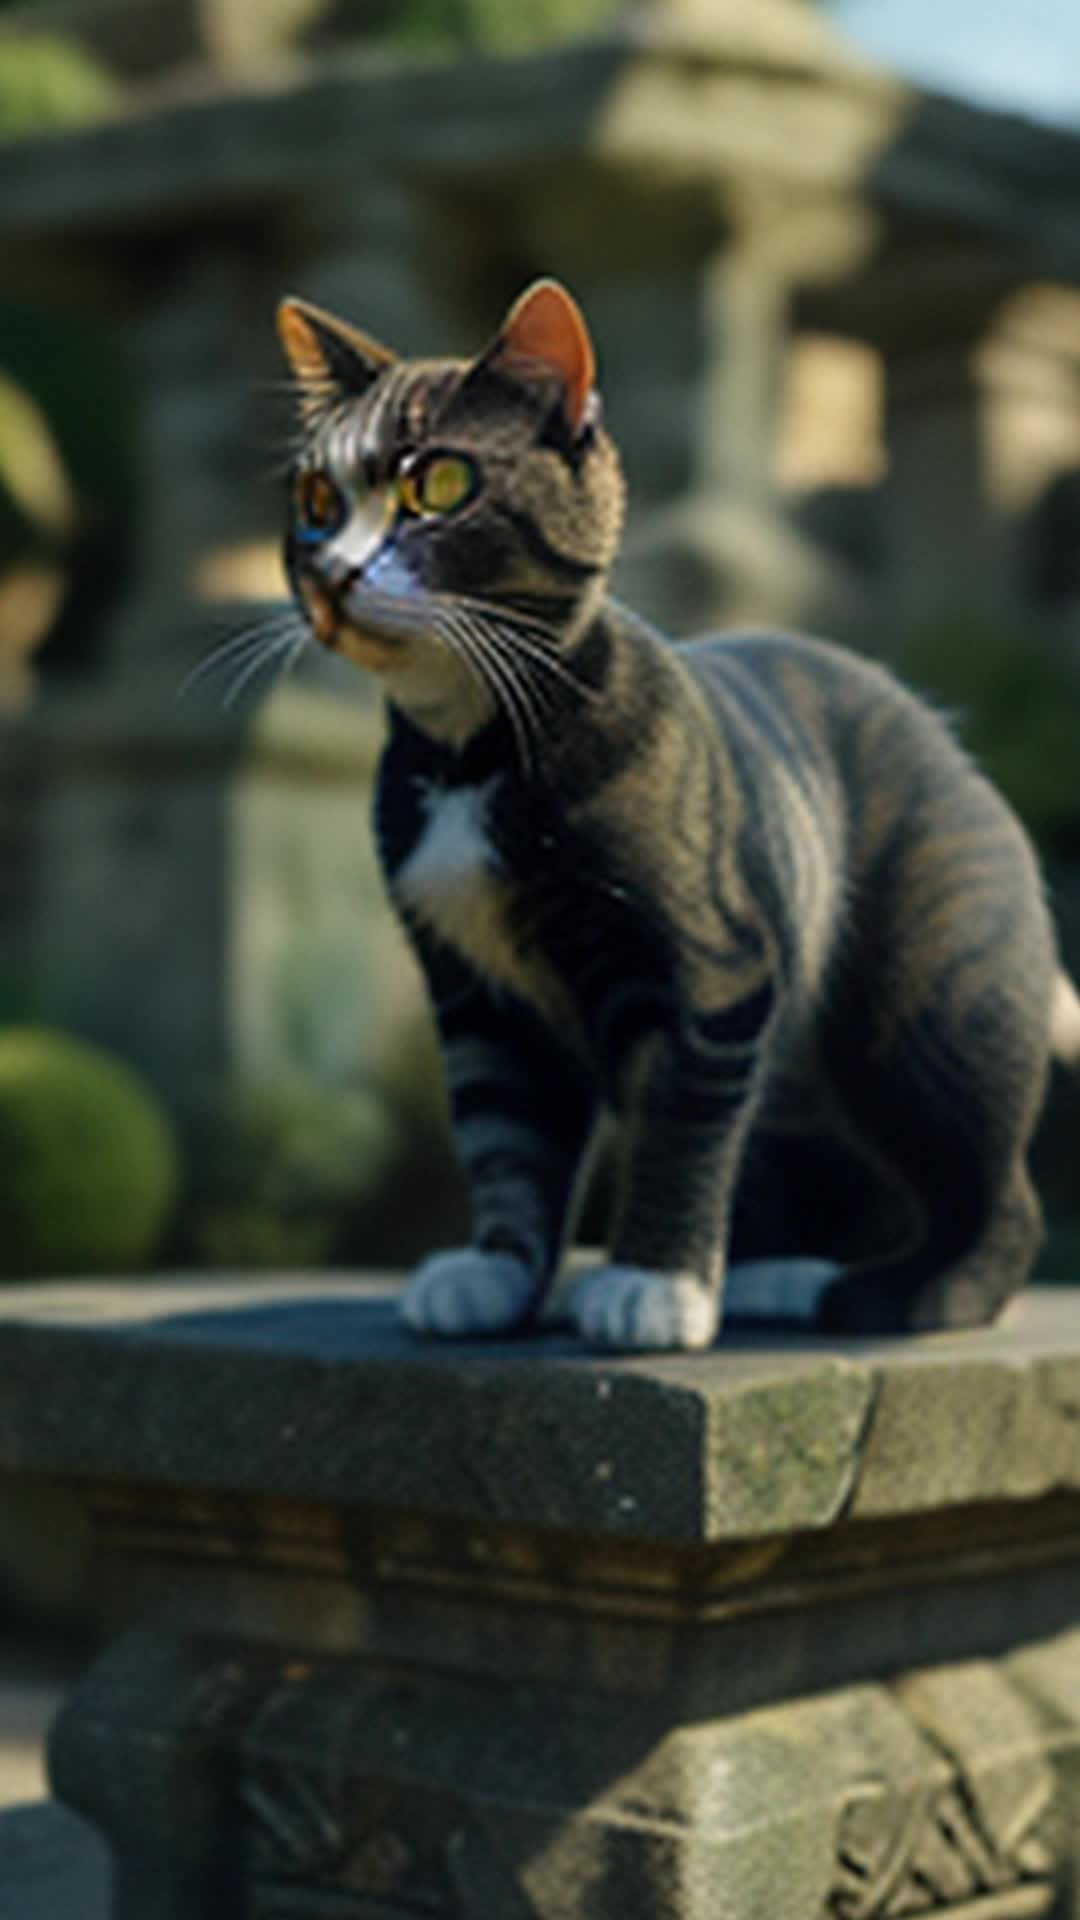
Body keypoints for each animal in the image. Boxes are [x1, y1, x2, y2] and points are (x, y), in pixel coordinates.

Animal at [274, 274, 1076, 1351]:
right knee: (794, 1149)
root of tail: (951, 739)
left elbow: (679, 1123)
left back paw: (901, 1297)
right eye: (316, 502)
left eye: (439, 484)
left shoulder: (712, 967)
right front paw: (497, 1274)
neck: (473, 751)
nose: (332, 573)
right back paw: (772, 1276)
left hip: (932, 1005)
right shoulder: (476, 992)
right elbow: (506, 1138)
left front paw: (652, 1287)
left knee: (996, 1188)